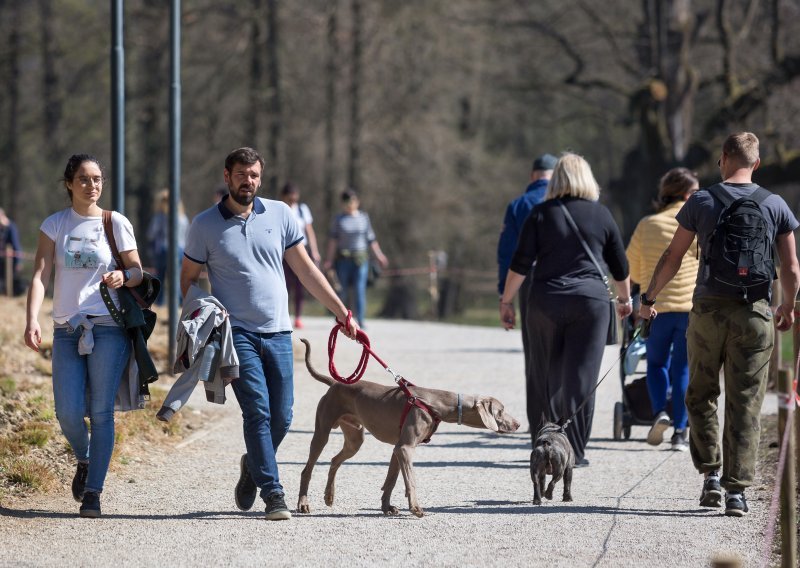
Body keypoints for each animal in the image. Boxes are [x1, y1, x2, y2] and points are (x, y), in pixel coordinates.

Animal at [296, 340, 520, 516]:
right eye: (501, 411)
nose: (518, 424)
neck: (434, 403)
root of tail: (335, 383)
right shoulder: (405, 448)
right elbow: (410, 480)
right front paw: (415, 508)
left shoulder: (397, 449)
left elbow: (391, 481)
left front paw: (387, 507)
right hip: (322, 432)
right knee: (308, 469)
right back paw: (303, 504)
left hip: (355, 438)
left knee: (335, 460)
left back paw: (329, 496)